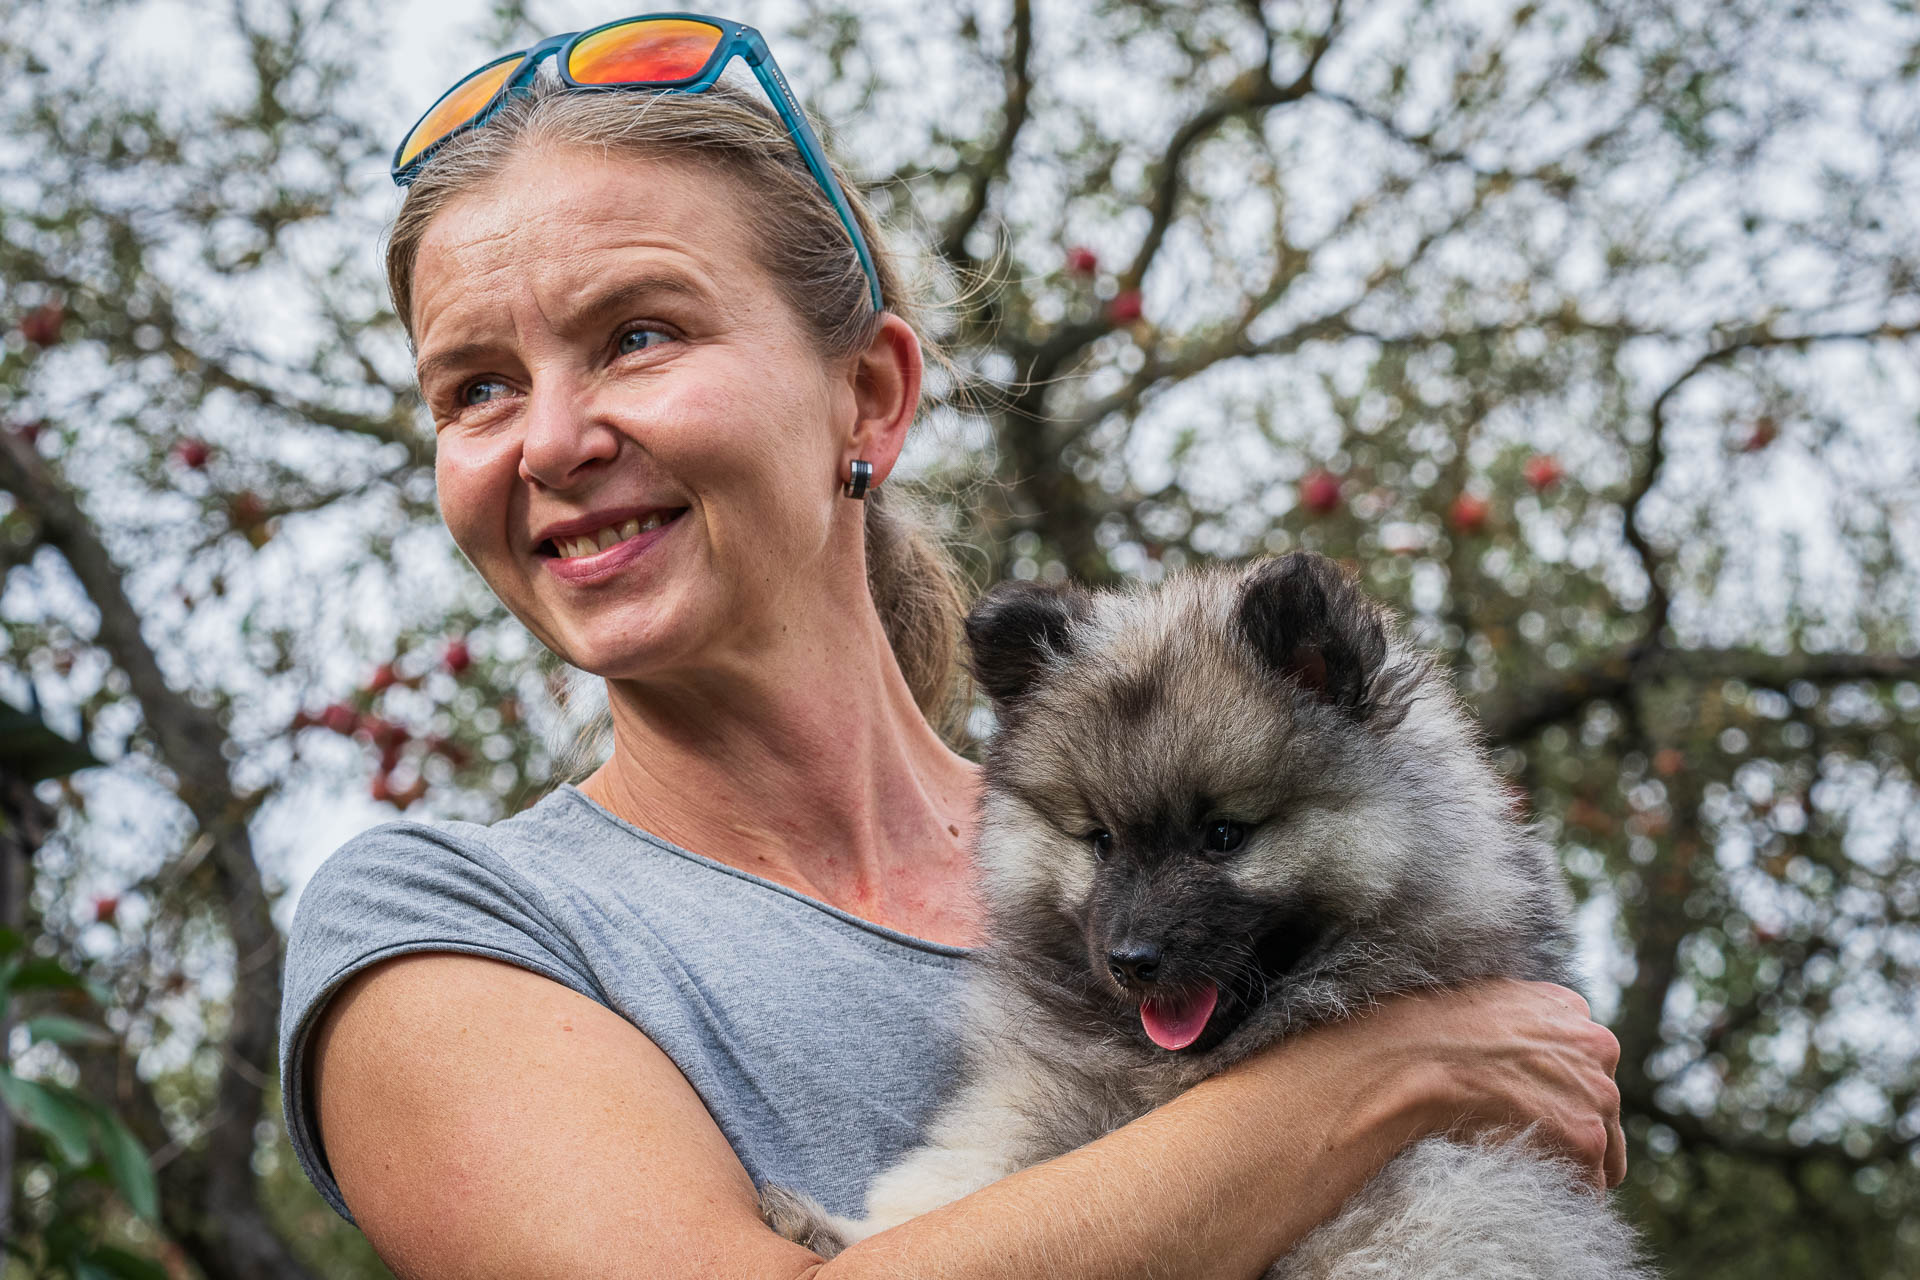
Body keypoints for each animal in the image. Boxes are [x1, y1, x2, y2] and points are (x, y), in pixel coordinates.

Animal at [764, 552, 1651, 1280]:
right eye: (1101, 841)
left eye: (1223, 835)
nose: (1131, 961)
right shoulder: (1034, 1095)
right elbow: (951, 1181)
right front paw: (835, 1231)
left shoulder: (1451, 1182)